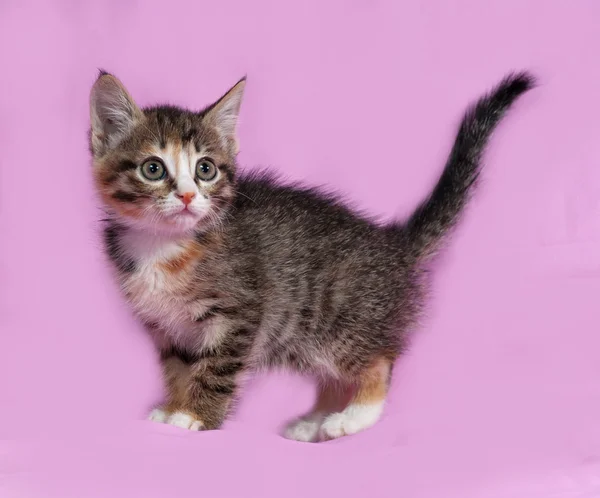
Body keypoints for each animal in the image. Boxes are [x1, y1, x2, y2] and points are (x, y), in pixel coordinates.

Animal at [90, 69, 536, 440]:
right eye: (153, 169)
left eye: (205, 169)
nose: (186, 196)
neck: (164, 244)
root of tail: (395, 245)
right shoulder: (168, 327)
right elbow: (178, 370)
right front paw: (174, 407)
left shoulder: (240, 315)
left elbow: (215, 369)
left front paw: (194, 417)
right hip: (302, 335)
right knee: (334, 376)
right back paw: (314, 421)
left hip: (340, 322)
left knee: (379, 363)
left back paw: (352, 418)